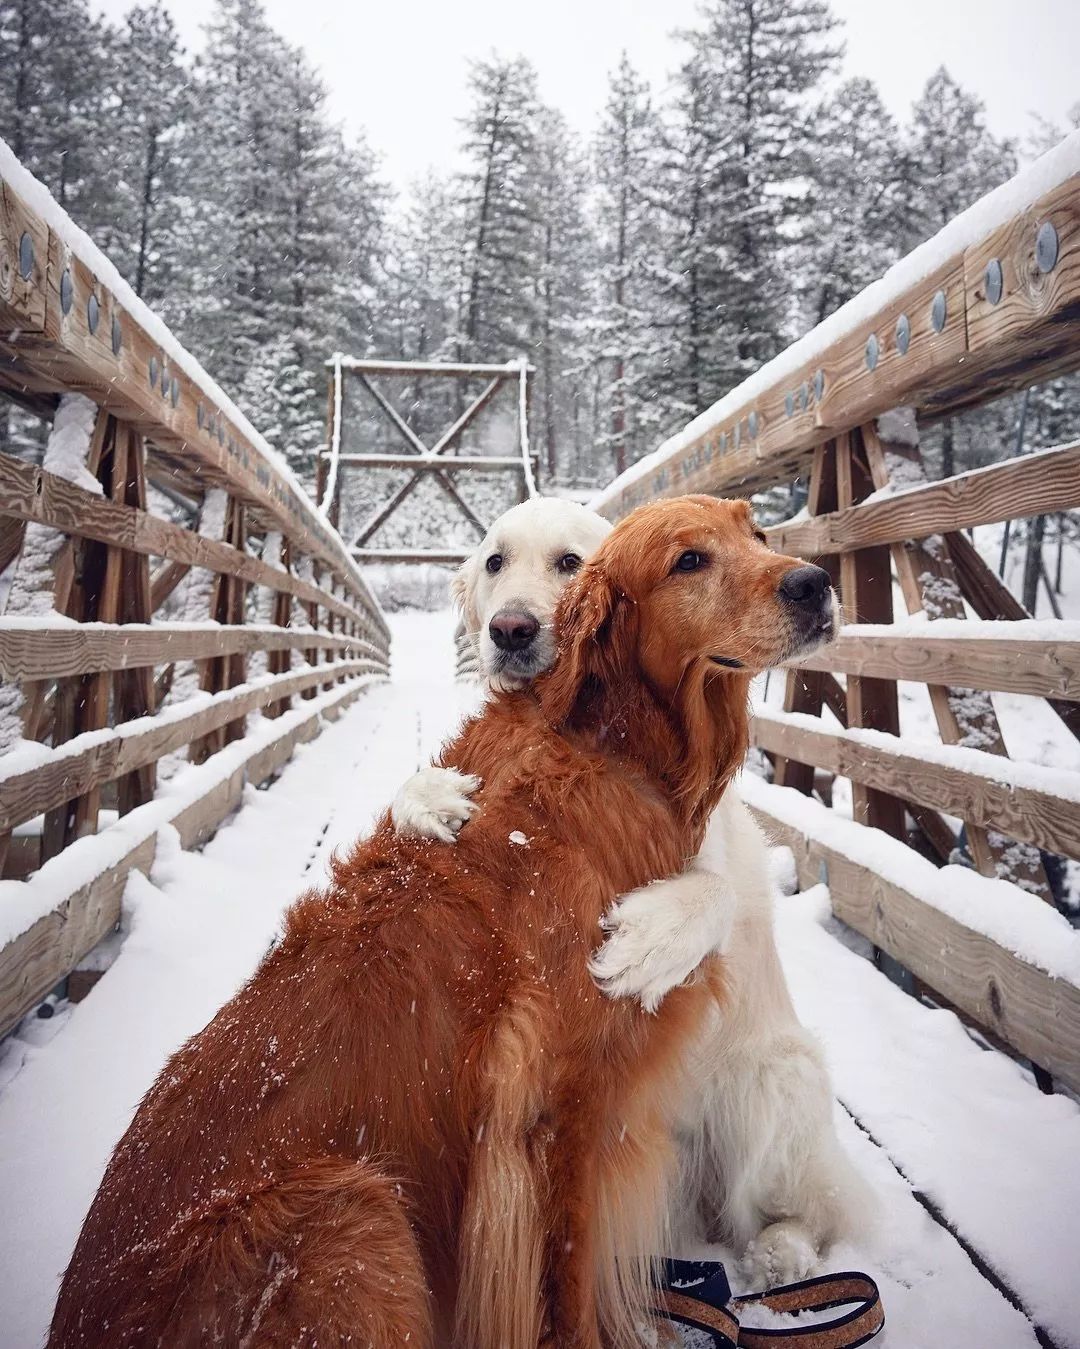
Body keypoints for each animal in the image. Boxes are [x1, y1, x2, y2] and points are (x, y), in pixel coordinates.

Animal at [391, 493, 868, 1273]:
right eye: (495, 561)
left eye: (570, 562)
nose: (511, 629)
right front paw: (427, 797)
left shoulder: (720, 852)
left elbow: (723, 890)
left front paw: (647, 942)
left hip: (775, 1077)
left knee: (810, 1207)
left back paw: (783, 1251)